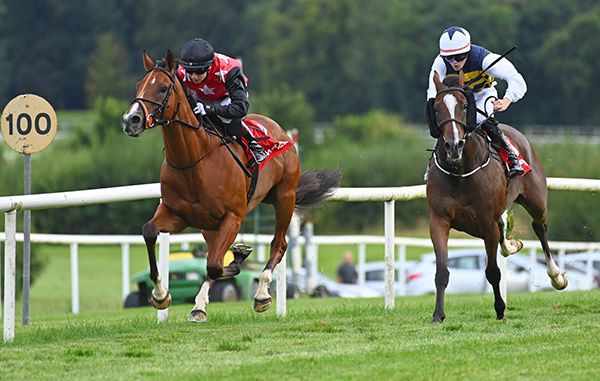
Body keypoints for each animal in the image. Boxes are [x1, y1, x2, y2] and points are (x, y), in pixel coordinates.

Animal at [120, 50, 342, 322]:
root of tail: (281, 132)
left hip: (285, 198)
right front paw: (161, 295)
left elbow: (216, 266)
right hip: (209, 224)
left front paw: (241, 260)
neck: (193, 161)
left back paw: (261, 294)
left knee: (277, 245)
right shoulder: (176, 214)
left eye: (162, 88)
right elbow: (151, 232)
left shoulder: (233, 217)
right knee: (213, 255)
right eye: (139, 85)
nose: (131, 120)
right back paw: (200, 305)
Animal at [426, 70, 568, 320]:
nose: (454, 145)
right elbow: (441, 272)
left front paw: (500, 309)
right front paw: (438, 316)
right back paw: (512, 245)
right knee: (505, 230)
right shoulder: (439, 221)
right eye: (437, 108)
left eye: (464, 105)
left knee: (540, 227)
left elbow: (493, 271)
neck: (460, 172)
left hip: (536, 201)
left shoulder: (487, 222)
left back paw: (556, 277)